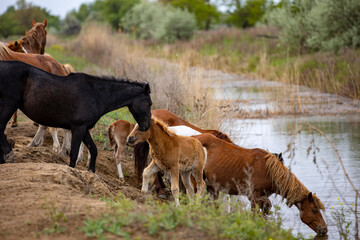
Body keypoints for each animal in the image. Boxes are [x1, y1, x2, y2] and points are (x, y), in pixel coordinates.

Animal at [0, 60, 152, 172]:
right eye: (149, 103)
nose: (146, 126)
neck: (96, 94)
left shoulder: (84, 128)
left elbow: (93, 149)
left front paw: (91, 171)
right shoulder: (78, 128)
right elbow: (73, 153)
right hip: (8, 106)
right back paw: (9, 156)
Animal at [193, 133, 328, 236]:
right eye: (314, 210)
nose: (325, 229)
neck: (269, 172)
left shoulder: (262, 198)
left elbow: (264, 213)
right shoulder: (254, 196)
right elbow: (254, 215)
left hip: (212, 188)